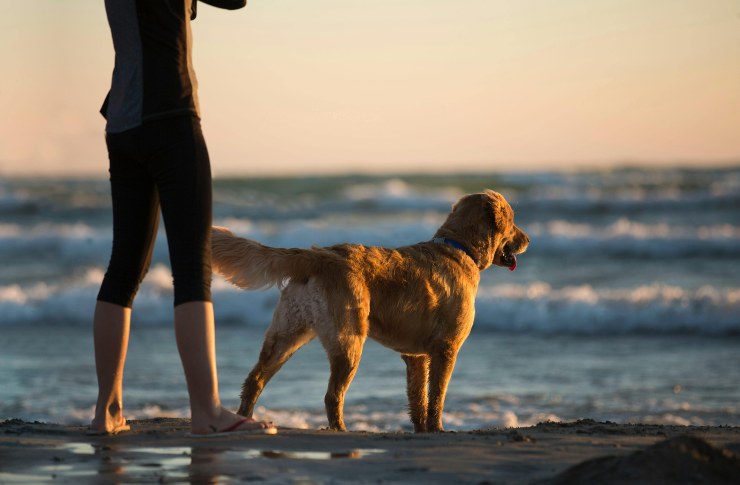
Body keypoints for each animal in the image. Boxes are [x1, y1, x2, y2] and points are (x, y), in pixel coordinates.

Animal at [211, 189, 528, 432]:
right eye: (513, 221)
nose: (527, 240)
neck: (459, 247)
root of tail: (318, 255)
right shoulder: (446, 348)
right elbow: (437, 396)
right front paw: (437, 428)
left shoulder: (416, 356)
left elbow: (418, 398)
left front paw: (421, 429)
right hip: (349, 340)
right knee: (332, 395)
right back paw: (340, 430)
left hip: (287, 334)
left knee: (254, 380)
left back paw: (245, 420)